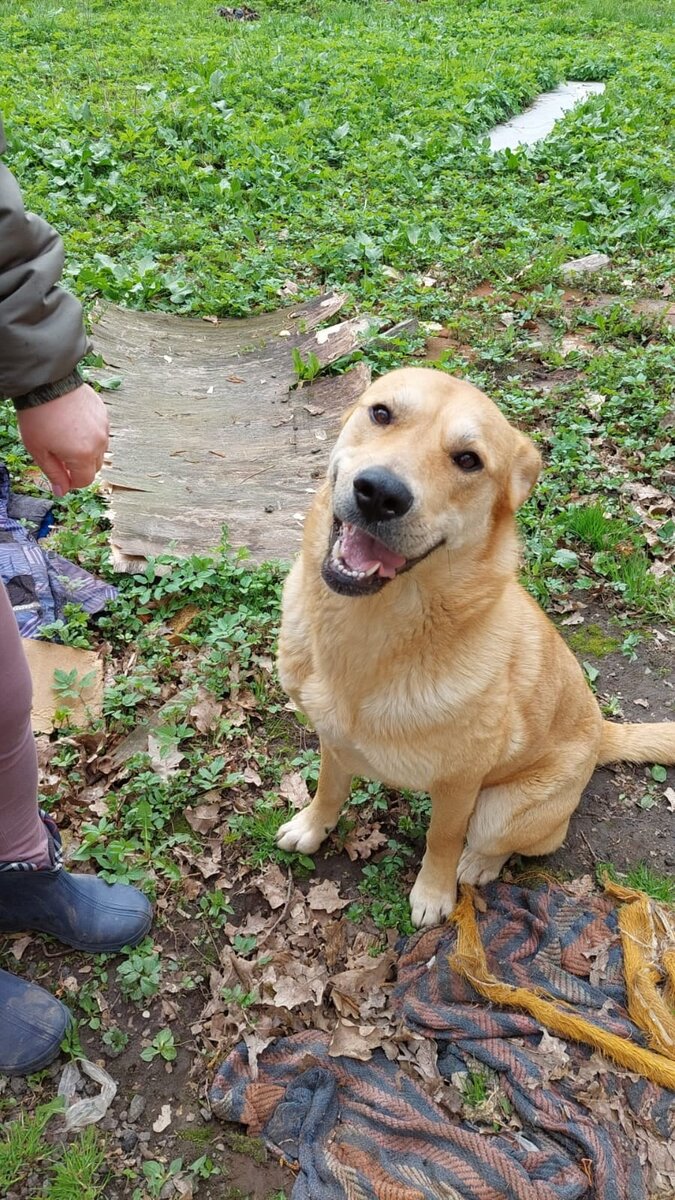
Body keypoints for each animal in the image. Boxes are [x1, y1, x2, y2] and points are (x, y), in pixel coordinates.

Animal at [273, 364, 672, 926]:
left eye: (468, 460)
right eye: (381, 413)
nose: (379, 493)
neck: (368, 630)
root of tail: (601, 733)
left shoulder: (460, 782)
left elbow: (442, 837)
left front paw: (434, 894)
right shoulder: (332, 739)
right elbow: (330, 788)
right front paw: (312, 827)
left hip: (503, 809)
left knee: (507, 842)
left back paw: (479, 865)